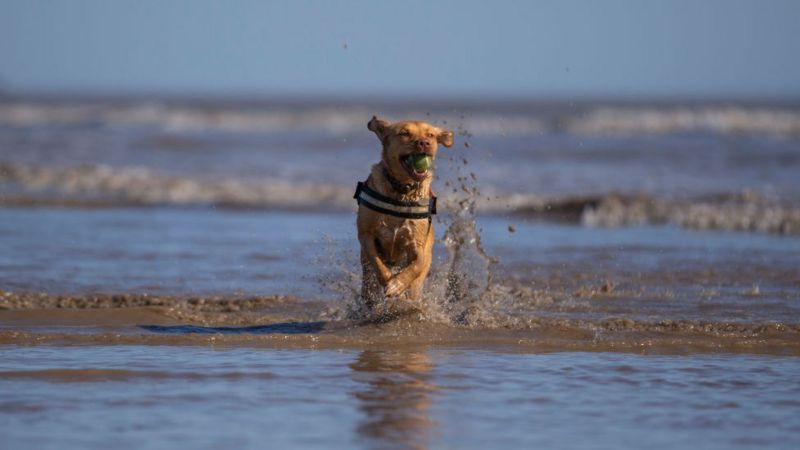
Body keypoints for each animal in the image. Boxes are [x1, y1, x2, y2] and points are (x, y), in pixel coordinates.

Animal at [354, 116, 454, 312]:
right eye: (404, 133)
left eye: (430, 135)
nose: (424, 143)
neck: (402, 189)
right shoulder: (366, 234)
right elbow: (377, 262)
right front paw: (389, 282)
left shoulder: (418, 243)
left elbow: (417, 264)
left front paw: (398, 284)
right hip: (366, 276)